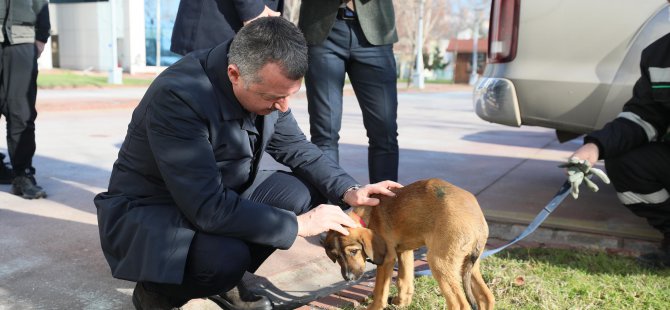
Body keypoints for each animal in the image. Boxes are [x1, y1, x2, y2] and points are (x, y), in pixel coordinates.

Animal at [322, 178, 496, 308]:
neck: (368, 214)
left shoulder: (387, 259)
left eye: (354, 251)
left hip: (440, 262)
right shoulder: (404, 251)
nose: (349, 278)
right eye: (336, 257)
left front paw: (376, 306)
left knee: (460, 304)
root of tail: (478, 222)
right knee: (486, 297)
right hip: (468, 263)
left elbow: (380, 291)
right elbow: (404, 281)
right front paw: (401, 302)